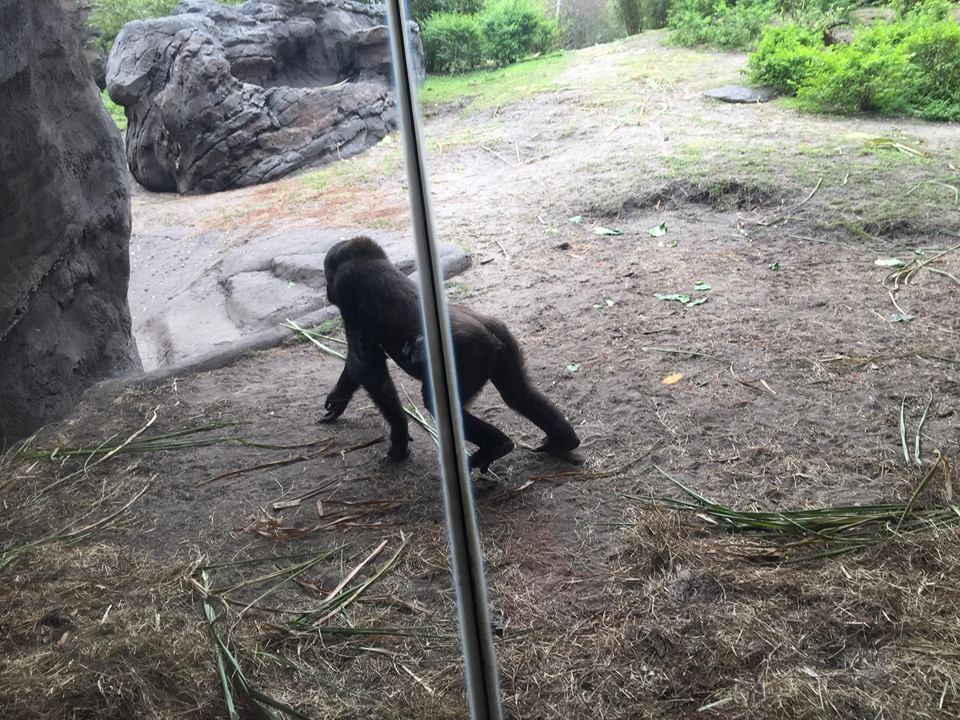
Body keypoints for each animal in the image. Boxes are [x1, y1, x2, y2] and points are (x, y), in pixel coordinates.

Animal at [316, 236, 580, 472]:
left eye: (328, 277)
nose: (327, 291)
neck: (364, 257)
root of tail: (489, 332)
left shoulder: (347, 287)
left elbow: (366, 364)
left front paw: (399, 436)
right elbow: (359, 364)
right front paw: (338, 400)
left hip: (469, 357)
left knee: (440, 403)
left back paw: (497, 446)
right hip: (503, 339)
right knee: (517, 392)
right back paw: (562, 440)